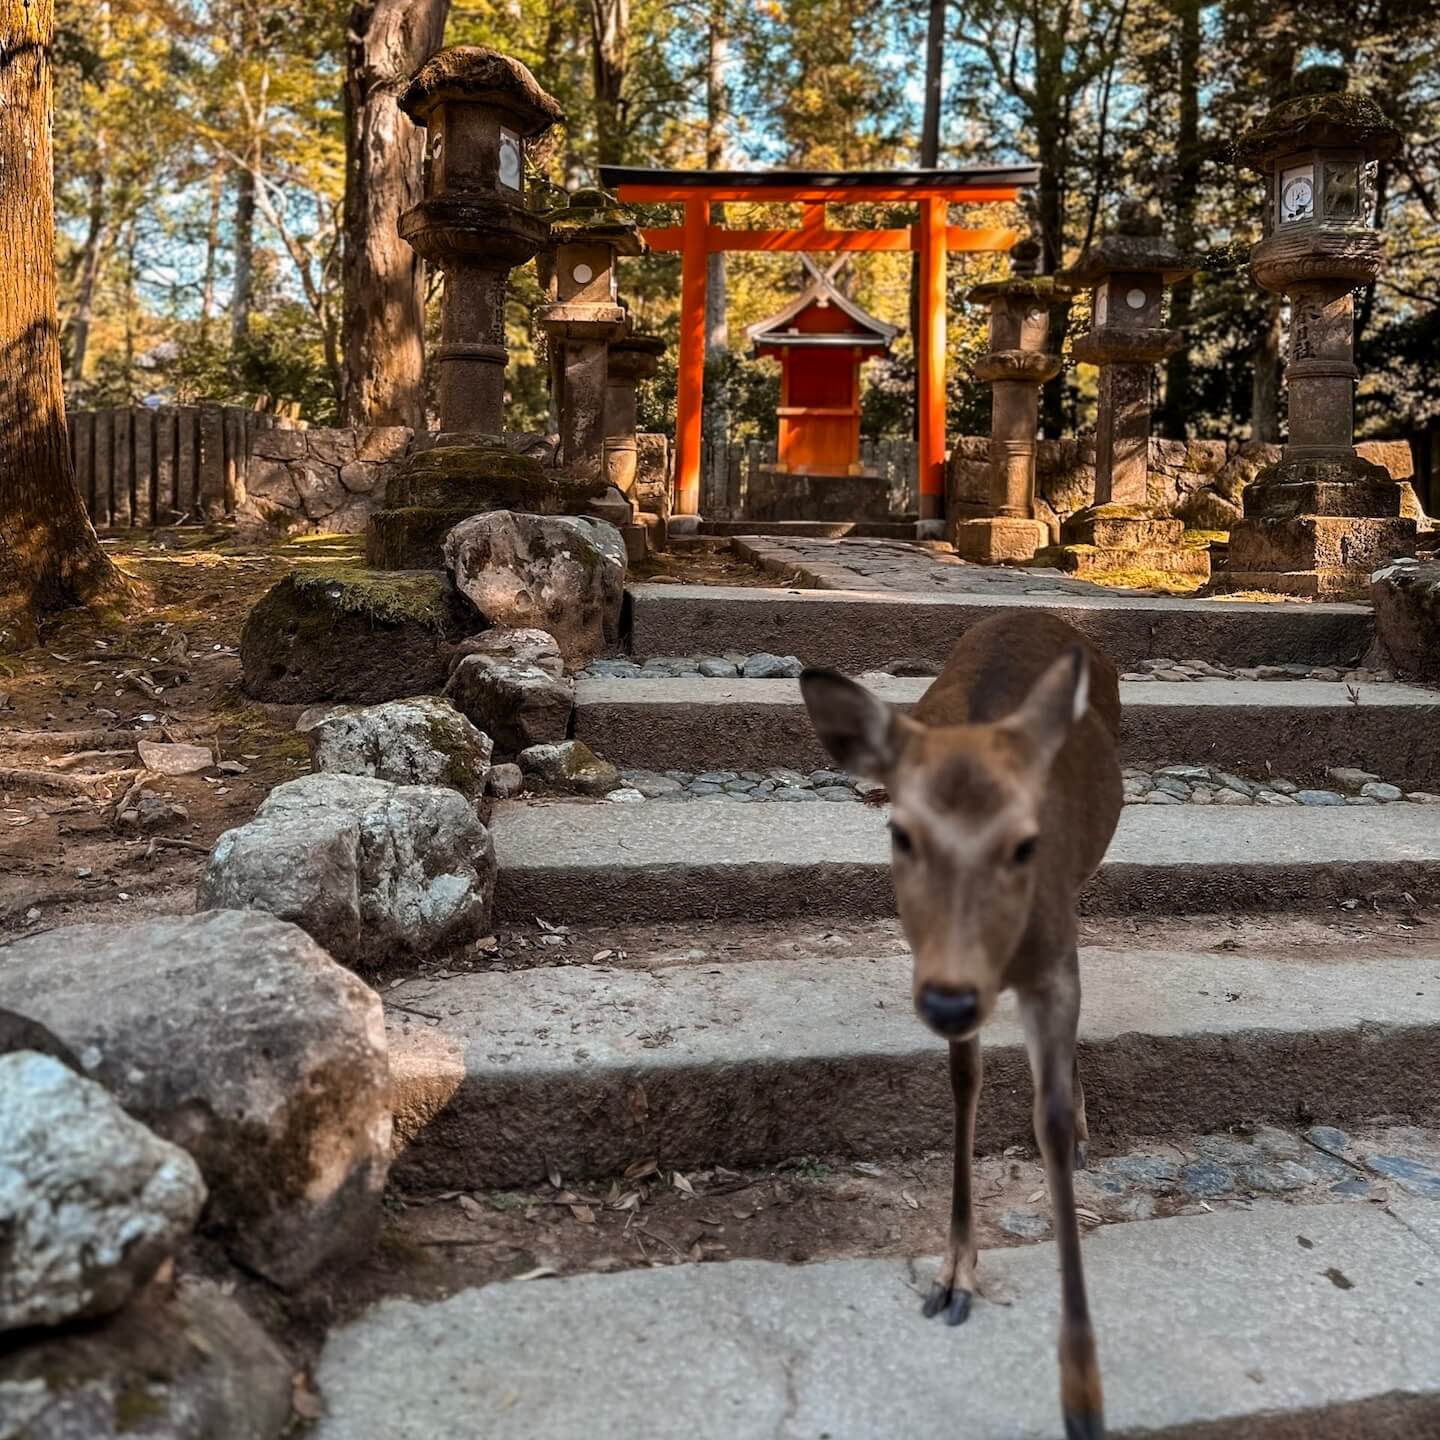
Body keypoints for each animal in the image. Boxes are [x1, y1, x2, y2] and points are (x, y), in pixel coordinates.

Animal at [800, 610, 1123, 1440]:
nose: (948, 1003)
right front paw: (953, 1277)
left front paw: (1083, 1395)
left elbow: (1045, 1119)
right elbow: (963, 1081)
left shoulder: (1053, 961)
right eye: (900, 833)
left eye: (1025, 842)